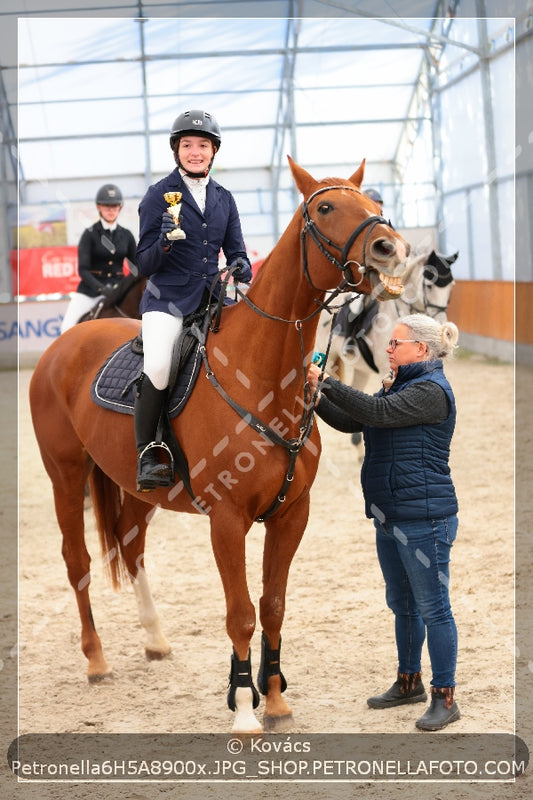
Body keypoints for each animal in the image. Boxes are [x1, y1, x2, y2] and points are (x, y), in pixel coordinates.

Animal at [29, 159, 410, 736]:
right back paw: (96, 660)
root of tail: (64, 344)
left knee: (133, 550)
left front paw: (274, 701)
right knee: (77, 561)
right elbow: (240, 614)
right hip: (66, 476)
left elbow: (272, 606)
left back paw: (155, 640)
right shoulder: (227, 520)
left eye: (371, 204)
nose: (391, 248)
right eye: (324, 207)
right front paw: (245, 711)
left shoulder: (291, 514)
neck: (263, 376)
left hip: (138, 488)